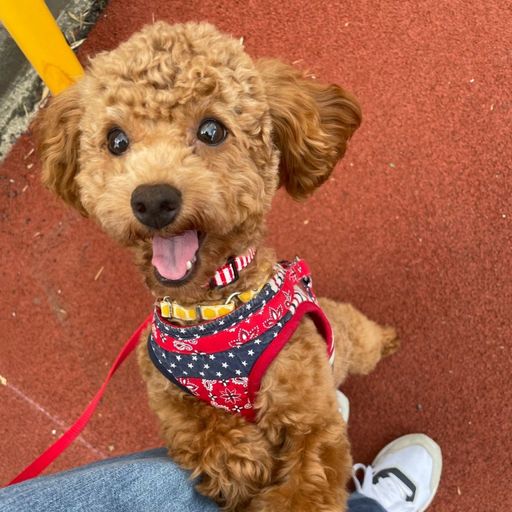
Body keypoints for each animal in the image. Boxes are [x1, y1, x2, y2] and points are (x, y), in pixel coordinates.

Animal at [36, 21, 400, 512]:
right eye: (116, 140)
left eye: (212, 130)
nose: (153, 200)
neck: (209, 308)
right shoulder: (165, 390)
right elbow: (197, 429)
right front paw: (238, 462)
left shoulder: (310, 418)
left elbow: (306, 482)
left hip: (350, 339)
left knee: (368, 339)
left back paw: (389, 339)